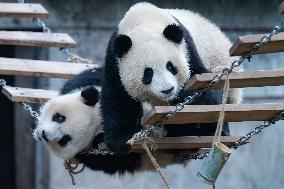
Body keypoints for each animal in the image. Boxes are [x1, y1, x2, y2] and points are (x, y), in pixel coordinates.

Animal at [101, 2, 243, 154]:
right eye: (148, 73)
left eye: (170, 66)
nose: (167, 90)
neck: (144, 20)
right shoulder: (115, 60)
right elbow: (117, 99)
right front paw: (121, 140)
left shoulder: (188, 49)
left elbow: (204, 90)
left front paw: (183, 94)